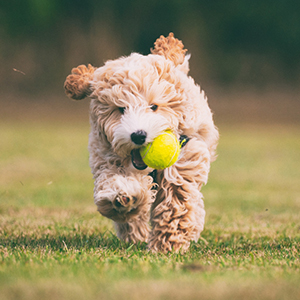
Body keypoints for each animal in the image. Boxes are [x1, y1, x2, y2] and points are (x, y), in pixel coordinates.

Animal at [63, 33, 218, 253]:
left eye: (153, 106)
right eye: (121, 109)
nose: (138, 135)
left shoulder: (184, 159)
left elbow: (176, 202)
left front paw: (166, 244)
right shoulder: (105, 157)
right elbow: (115, 183)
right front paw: (123, 197)